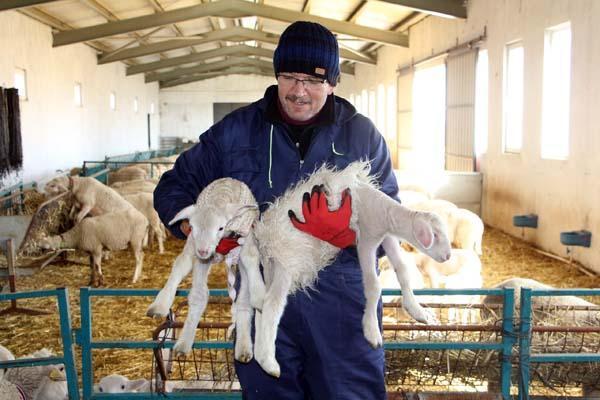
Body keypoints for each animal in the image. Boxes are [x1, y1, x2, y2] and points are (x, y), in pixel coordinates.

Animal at [146, 178, 262, 362]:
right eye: (192, 226)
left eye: (220, 228)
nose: (203, 251)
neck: (219, 198)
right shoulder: (196, 248)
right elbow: (197, 294)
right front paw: (184, 342)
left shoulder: (246, 237)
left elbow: (251, 257)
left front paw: (260, 295)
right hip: (192, 247)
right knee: (182, 265)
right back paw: (162, 306)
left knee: (243, 300)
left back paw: (243, 347)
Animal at [239, 161, 450, 376]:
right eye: (435, 236)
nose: (447, 257)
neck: (384, 211)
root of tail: (268, 240)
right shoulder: (366, 240)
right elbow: (373, 287)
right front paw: (371, 329)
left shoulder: (386, 238)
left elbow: (403, 269)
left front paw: (415, 309)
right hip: (288, 260)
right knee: (271, 303)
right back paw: (268, 362)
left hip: (273, 265)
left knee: (260, 302)